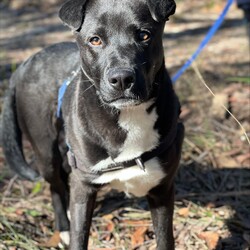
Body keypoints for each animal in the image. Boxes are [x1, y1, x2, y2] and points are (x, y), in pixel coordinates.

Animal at [2, 0, 184, 249]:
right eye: (95, 40)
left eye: (144, 35)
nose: (121, 79)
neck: (127, 116)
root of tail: (25, 63)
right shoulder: (83, 186)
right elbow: (79, 237)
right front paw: (72, 231)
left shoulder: (162, 189)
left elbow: (165, 239)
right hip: (45, 152)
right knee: (55, 185)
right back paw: (63, 227)